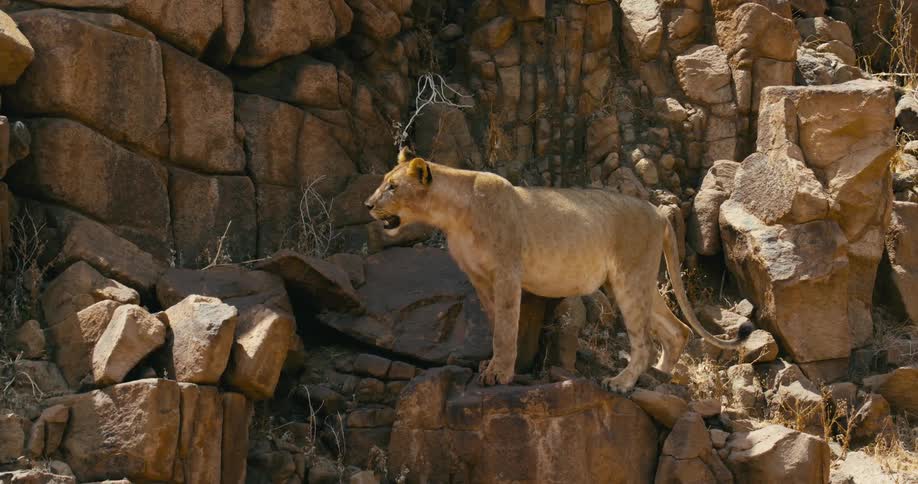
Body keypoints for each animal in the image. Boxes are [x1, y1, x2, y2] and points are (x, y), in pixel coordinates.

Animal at [365, 147, 754, 392]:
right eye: (384, 181)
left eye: (393, 186)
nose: (368, 204)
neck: (452, 214)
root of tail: (657, 212)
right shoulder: (479, 279)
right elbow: (495, 323)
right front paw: (492, 366)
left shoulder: (507, 272)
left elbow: (506, 328)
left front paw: (500, 374)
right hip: (635, 282)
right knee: (677, 330)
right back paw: (659, 376)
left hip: (629, 279)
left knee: (643, 341)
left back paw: (623, 382)